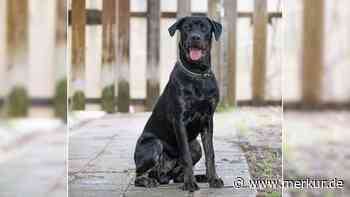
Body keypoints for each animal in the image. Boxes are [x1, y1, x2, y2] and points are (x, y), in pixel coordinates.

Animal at [134, 16, 224, 192]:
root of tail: (163, 174)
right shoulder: (179, 121)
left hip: (195, 145)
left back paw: (198, 177)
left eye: (204, 28)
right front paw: (190, 184)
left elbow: (210, 153)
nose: (195, 37)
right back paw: (149, 181)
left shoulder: (208, 120)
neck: (197, 73)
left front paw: (214, 179)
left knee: (176, 175)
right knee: (138, 175)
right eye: (187, 28)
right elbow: (185, 156)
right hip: (153, 144)